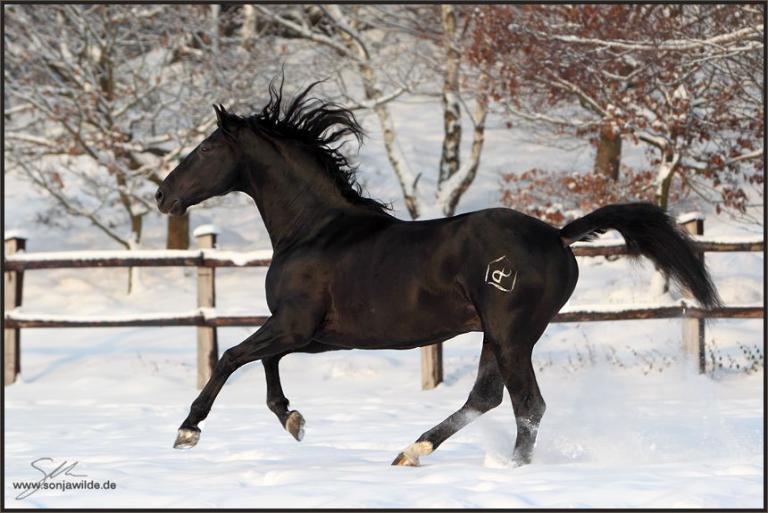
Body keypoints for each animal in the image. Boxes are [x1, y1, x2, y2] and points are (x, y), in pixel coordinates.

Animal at [155, 81, 720, 467]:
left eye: (206, 149)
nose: (162, 195)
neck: (315, 229)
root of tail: (558, 236)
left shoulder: (294, 324)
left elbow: (231, 356)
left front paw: (188, 430)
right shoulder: (314, 334)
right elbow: (265, 362)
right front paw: (292, 419)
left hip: (512, 334)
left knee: (528, 405)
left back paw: (509, 467)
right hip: (497, 334)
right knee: (488, 397)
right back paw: (413, 450)